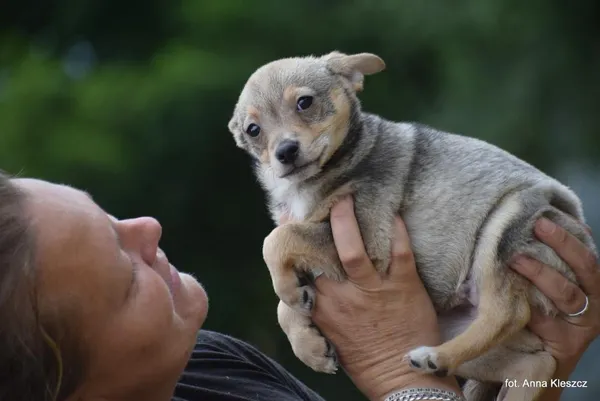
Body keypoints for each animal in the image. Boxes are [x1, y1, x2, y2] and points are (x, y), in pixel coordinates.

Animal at [227, 50, 596, 400]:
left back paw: (436, 356)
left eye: (304, 102)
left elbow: (277, 240)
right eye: (253, 130)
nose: (286, 152)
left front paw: (288, 290)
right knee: (535, 362)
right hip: (452, 321)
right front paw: (307, 341)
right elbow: (283, 304)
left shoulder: (367, 239)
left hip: (505, 226)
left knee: (508, 312)